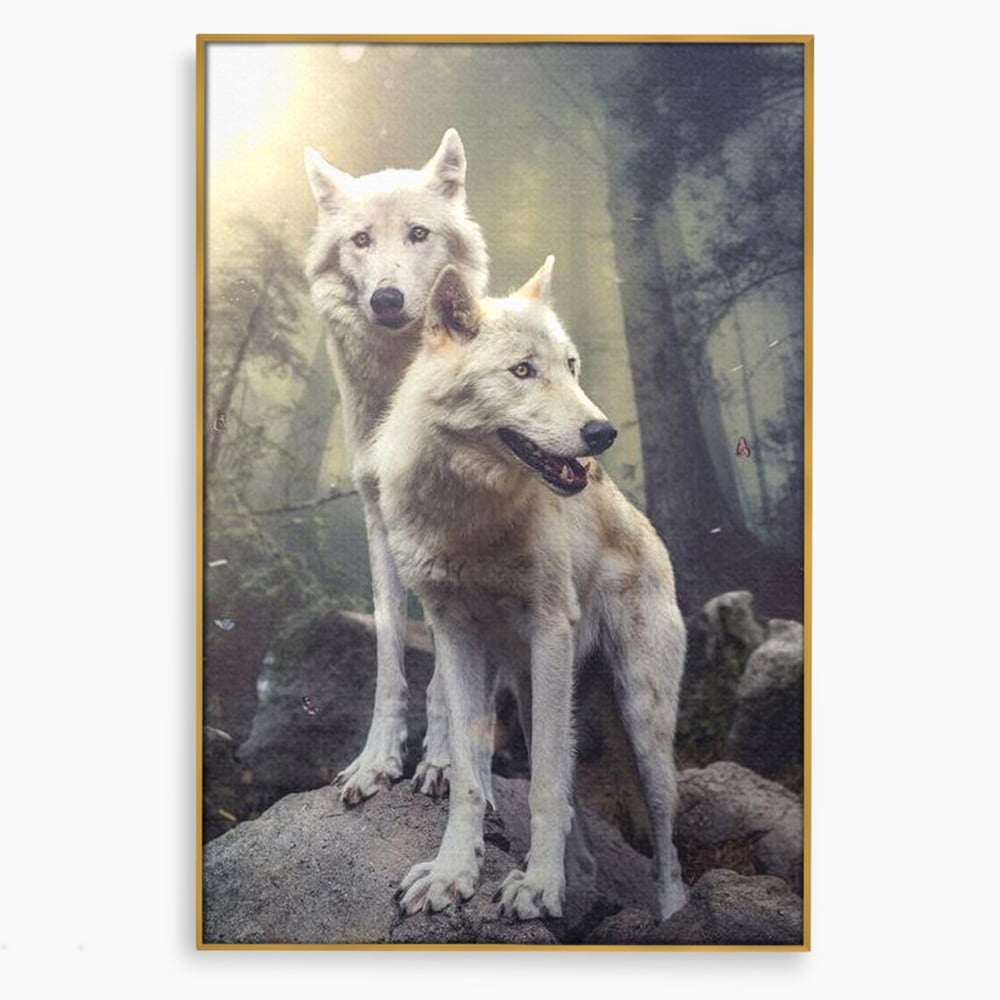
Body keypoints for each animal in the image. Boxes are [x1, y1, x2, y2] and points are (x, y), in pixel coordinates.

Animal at [304, 130, 489, 804]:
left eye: (417, 233)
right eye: (361, 239)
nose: (386, 299)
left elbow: (447, 672)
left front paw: (443, 762)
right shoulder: (379, 522)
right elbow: (389, 657)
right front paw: (375, 762)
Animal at [373, 258, 688, 921]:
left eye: (570, 366)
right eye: (523, 371)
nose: (602, 433)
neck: (470, 515)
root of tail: (647, 528)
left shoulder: (549, 632)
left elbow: (542, 784)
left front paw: (539, 886)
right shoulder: (454, 637)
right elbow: (470, 777)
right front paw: (453, 873)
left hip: (642, 722)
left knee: (665, 836)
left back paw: (675, 913)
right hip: (529, 690)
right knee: (573, 802)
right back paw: (583, 877)